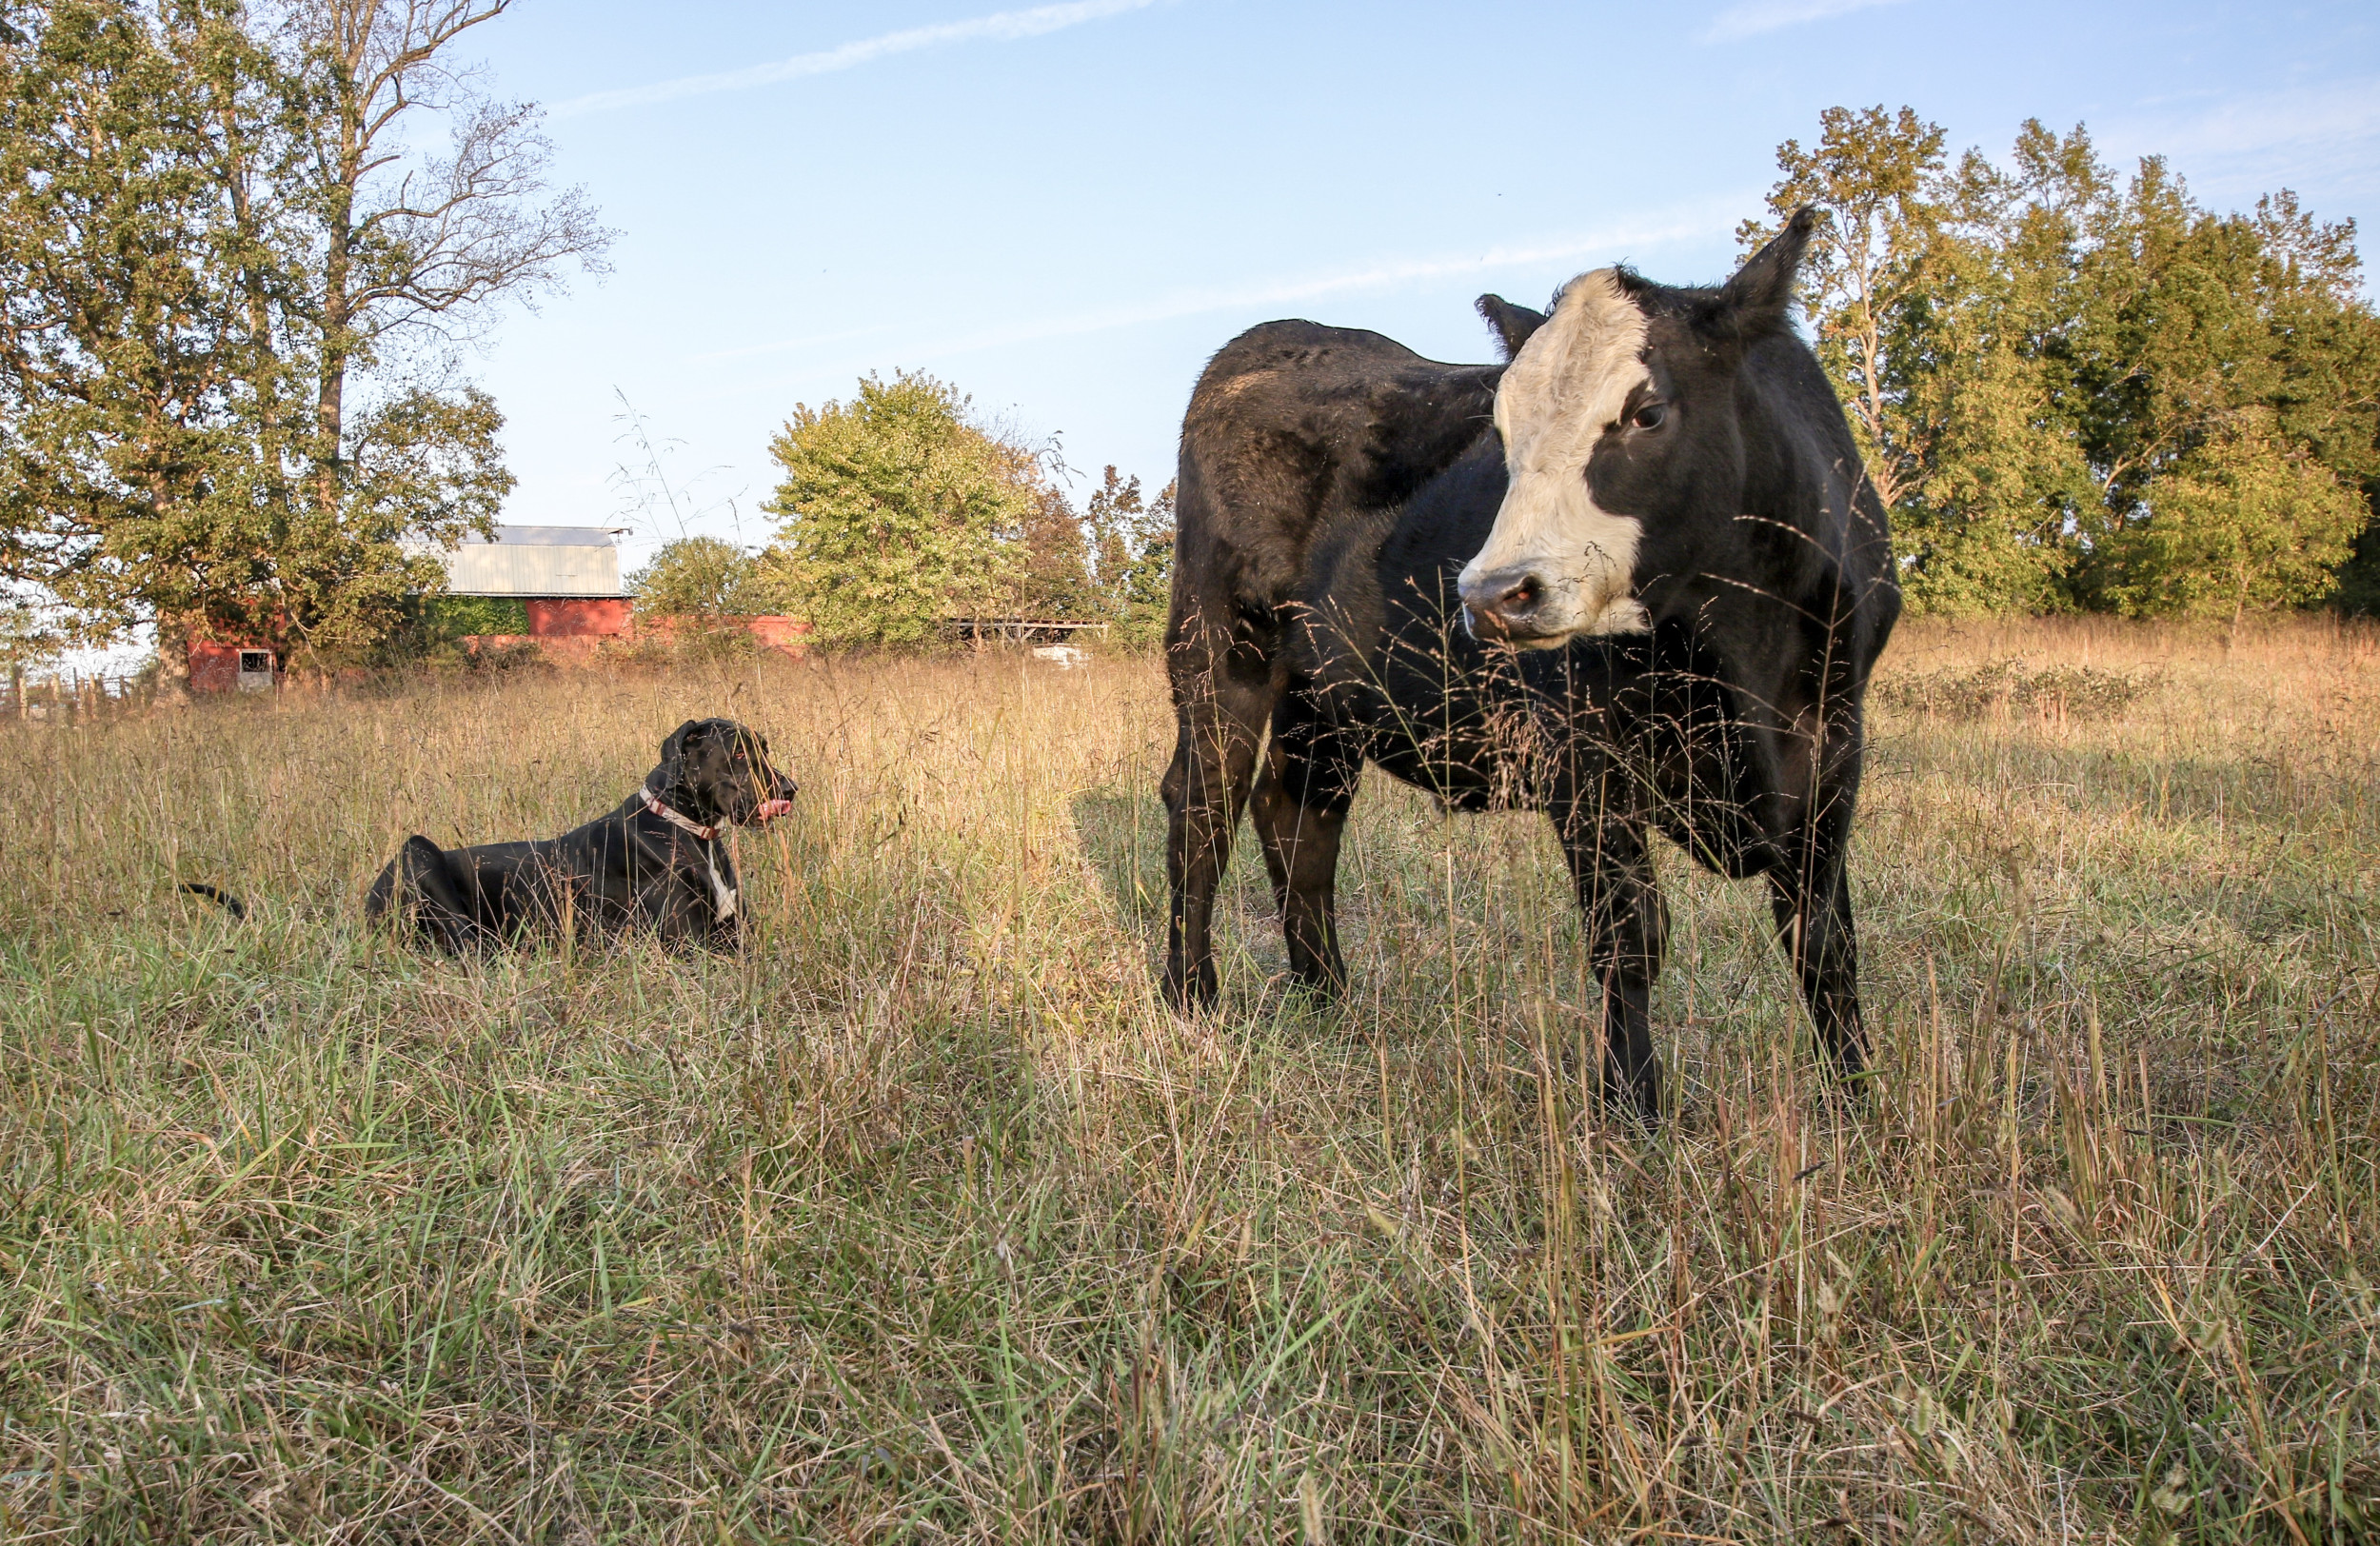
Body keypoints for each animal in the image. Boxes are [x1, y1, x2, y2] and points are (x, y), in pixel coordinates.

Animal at [1159, 210, 1900, 1117]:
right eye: (1503, 434)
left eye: (1648, 412)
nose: (1491, 594)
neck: (1734, 658)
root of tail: (1269, 339)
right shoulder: (1581, 758)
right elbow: (1629, 936)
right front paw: (1632, 1112)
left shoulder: (1833, 743)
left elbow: (1823, 940)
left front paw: (1857, 1101)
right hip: (1219, 647)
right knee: (1204, 806)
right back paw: (1192, 995)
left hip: (1324, 694)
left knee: (1296, 817)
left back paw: (1328, 998)